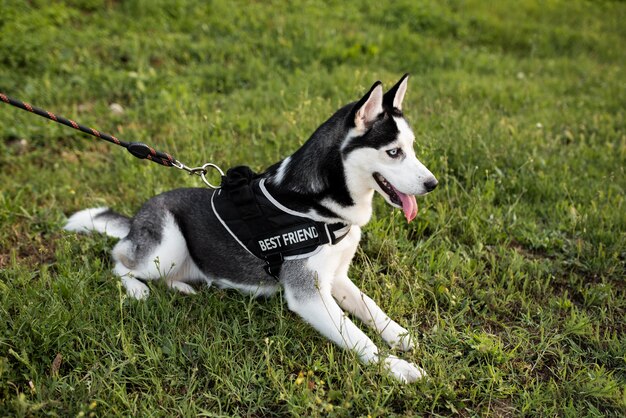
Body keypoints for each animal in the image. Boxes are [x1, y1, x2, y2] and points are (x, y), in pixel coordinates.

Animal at [63, 74, 434, 382]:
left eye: (412, 147)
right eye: (393, 152)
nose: (433, 184)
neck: (319, 205)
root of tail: (137, 218)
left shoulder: (336, 278)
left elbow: (372, 310)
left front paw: (400, 336)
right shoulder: (308, 295)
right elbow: (359, 339)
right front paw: (396, 368)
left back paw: (182, 287)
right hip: (167, 246)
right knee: (119, 260)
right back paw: (138, 289)